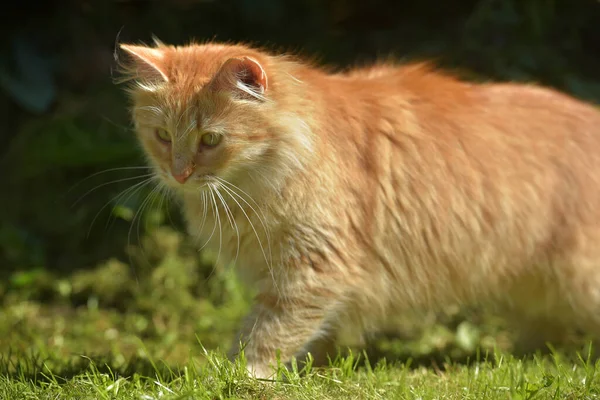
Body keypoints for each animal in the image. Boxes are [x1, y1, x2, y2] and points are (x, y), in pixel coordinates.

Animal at [119, 39, 600, 378]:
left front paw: (242, 376)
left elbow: (266, 333)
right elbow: (313, 334)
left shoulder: (312, 269)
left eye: (211, 139)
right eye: (163, 136)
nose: (178, 173)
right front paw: (309, 370)